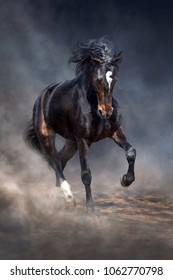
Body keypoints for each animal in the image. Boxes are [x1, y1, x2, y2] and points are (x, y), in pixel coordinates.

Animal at [23, 37, 137, 212]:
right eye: (98, 79)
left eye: (115, 79)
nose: (106, 112)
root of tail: (42, 96)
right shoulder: (82, 139)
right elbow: (86, 174)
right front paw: (91, 209)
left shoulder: (116, 131)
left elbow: (131, 152)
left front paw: (126, 180)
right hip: (46, 136)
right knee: (54, 161)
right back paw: (68, 197)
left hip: (72, 143)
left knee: (60, 160)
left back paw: (59, 197)